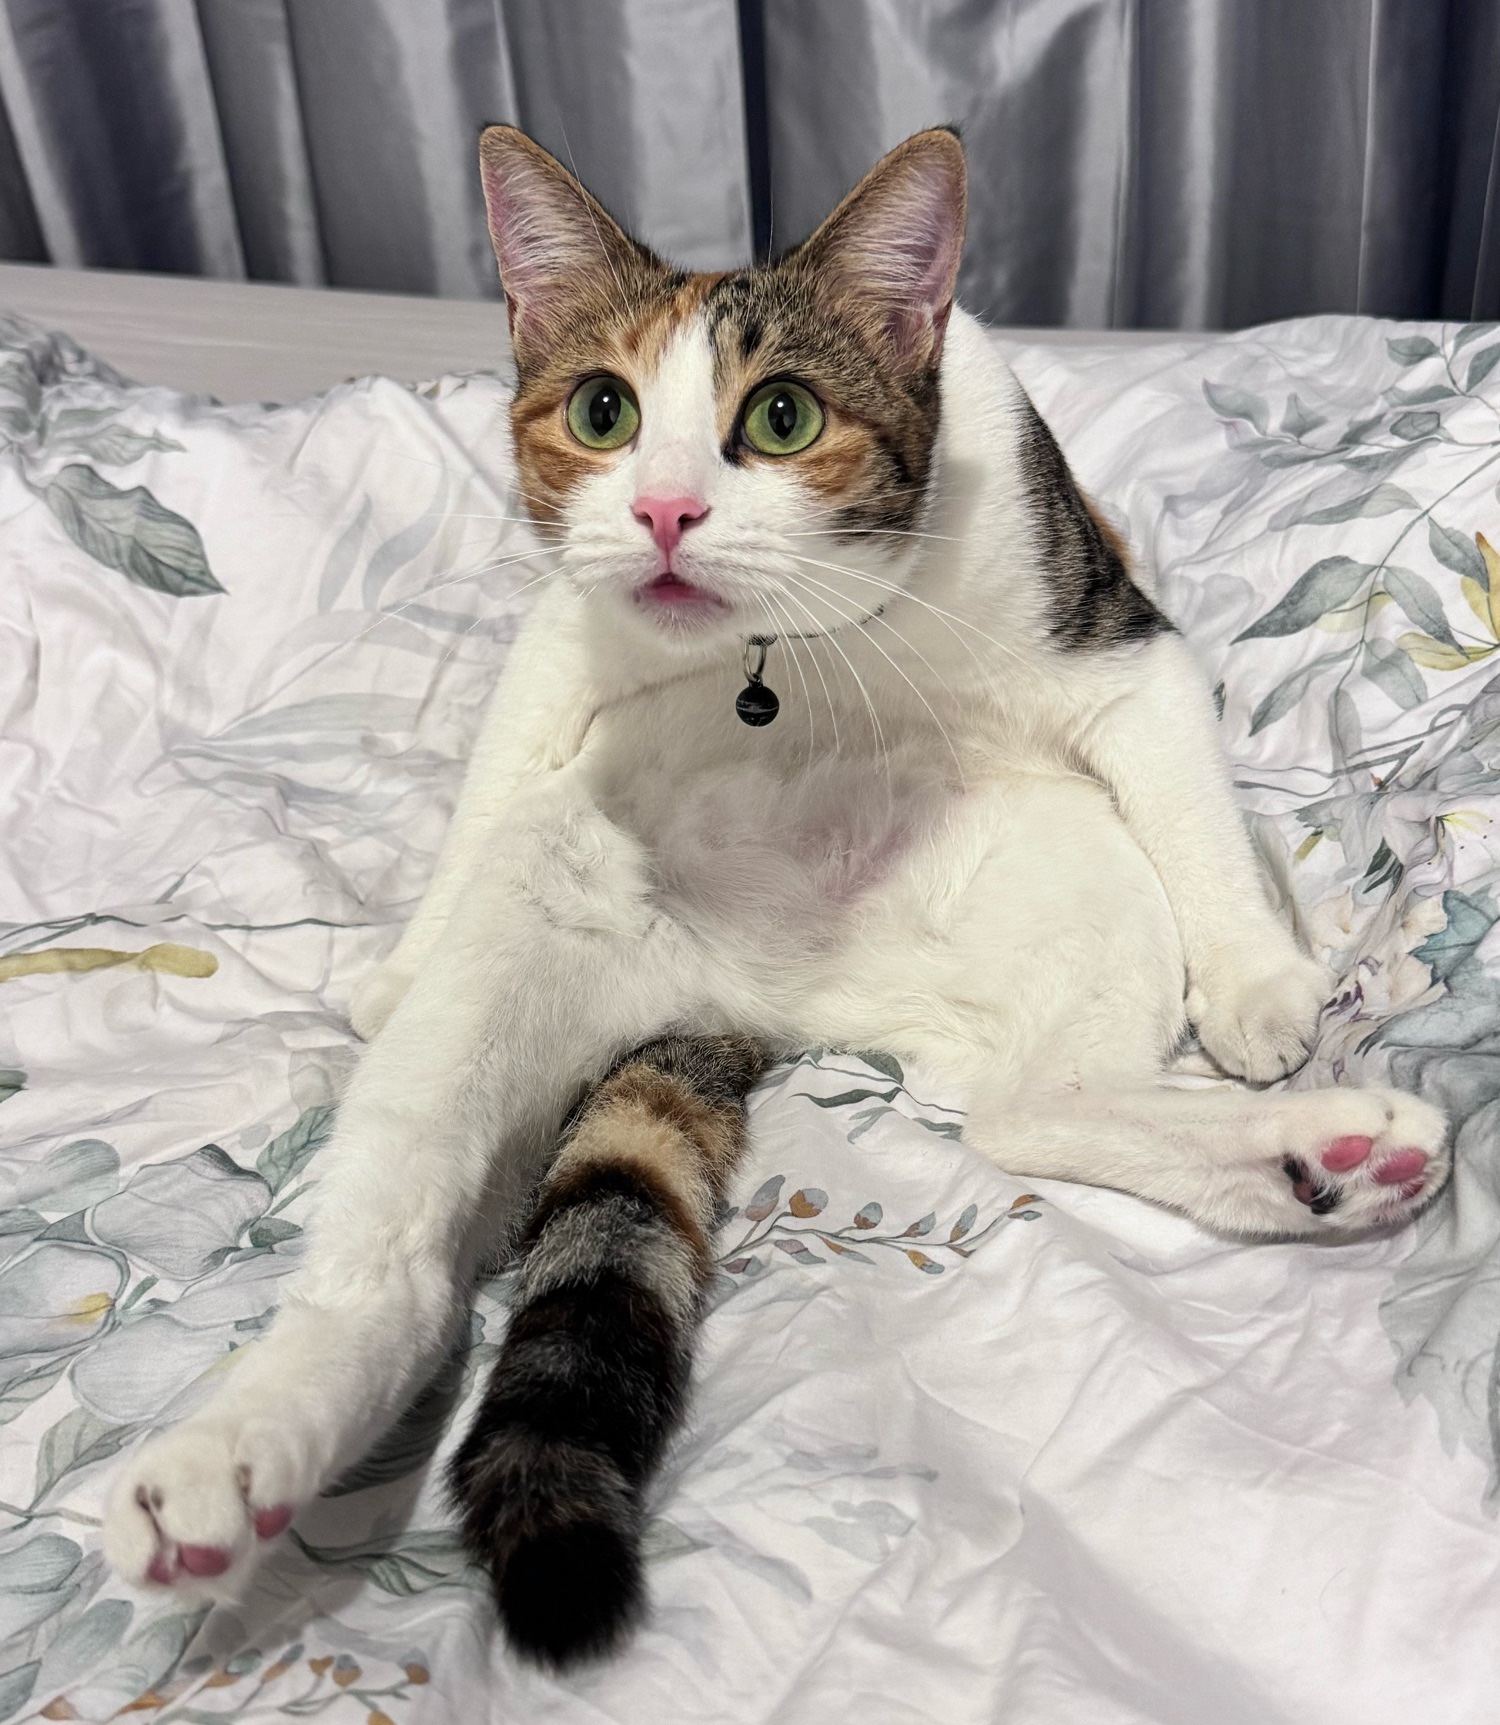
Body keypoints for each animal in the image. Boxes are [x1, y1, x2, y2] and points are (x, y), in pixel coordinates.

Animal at [104, 124, 1449, 1668]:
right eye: (606, 412)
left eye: (785, 418)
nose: (666, 508)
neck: (791, 648)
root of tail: (745, 995)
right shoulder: (565, 629)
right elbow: (506, 752)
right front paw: (398, 949)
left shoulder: (1113, 639)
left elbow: (1192, 803)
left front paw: (1256, 979)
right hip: (522, 950)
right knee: (403, 1270)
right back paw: (238, 1453)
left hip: (1076, 870)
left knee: (1031, 1108)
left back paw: (1315, 1157)